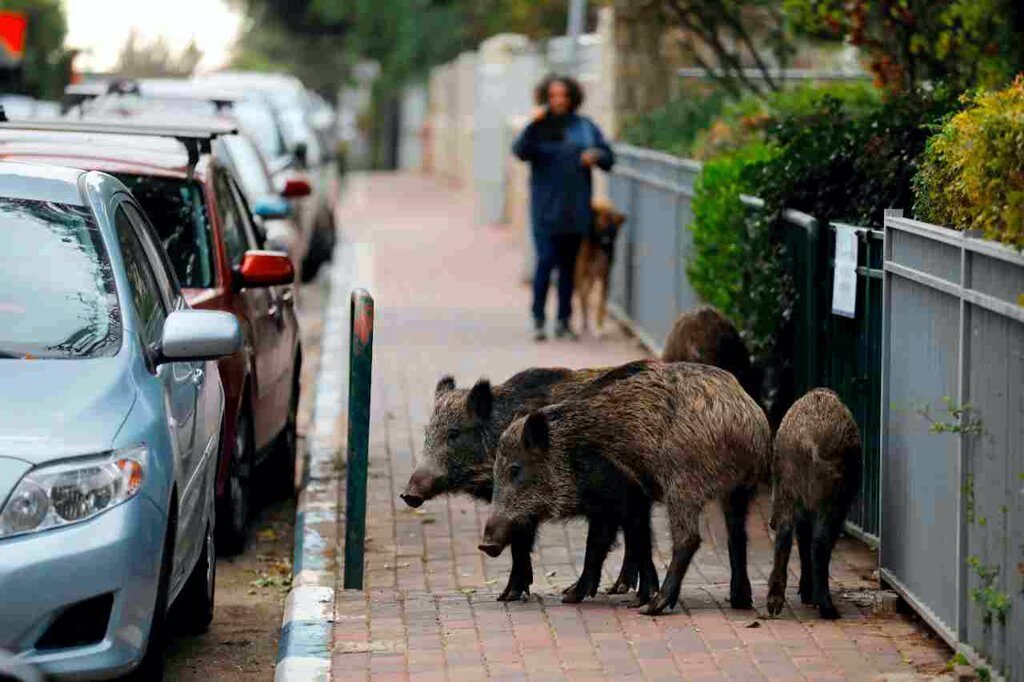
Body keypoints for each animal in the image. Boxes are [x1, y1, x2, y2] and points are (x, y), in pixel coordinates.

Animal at [577, 197, 622, 333]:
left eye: (613, 228)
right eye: (601, 225)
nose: (608, 240)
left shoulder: (605, 277)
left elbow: (601, 303)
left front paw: (598, 325)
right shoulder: (581, 273)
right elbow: (583, 297)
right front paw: (585, 322)